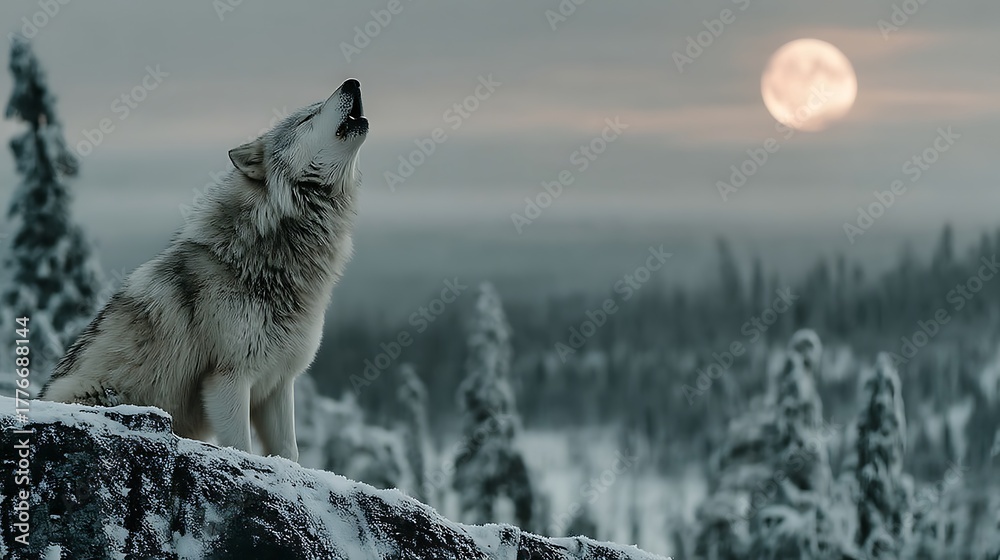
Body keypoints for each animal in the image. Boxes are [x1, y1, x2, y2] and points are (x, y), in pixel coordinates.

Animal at [40, 79, 369, 462]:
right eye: (308, 117)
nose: (352, 82)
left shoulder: (278, 384)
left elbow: (289, 453)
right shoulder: (227, 379)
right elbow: (241, 447)